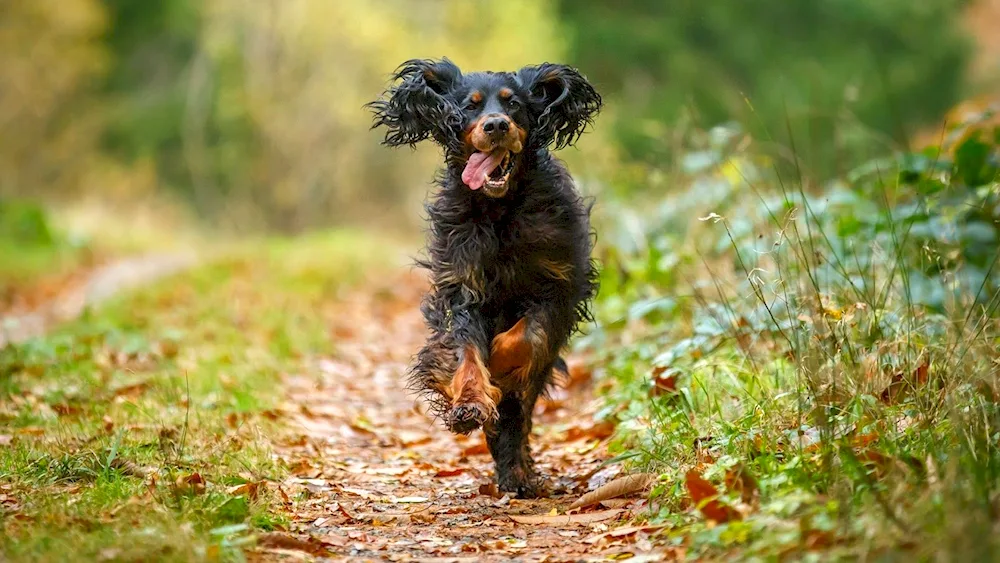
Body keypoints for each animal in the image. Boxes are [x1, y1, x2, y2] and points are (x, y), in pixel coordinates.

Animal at [370, 58, 596, 498]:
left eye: (514, 104)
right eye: (470, 106)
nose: (495, 125)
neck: (499, 209)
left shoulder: (558, 287)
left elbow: (522, 339)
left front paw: (501, 369)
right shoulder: (461, 289)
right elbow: (467, 352)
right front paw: (471, 401)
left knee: (522, 409)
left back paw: (518, 469)